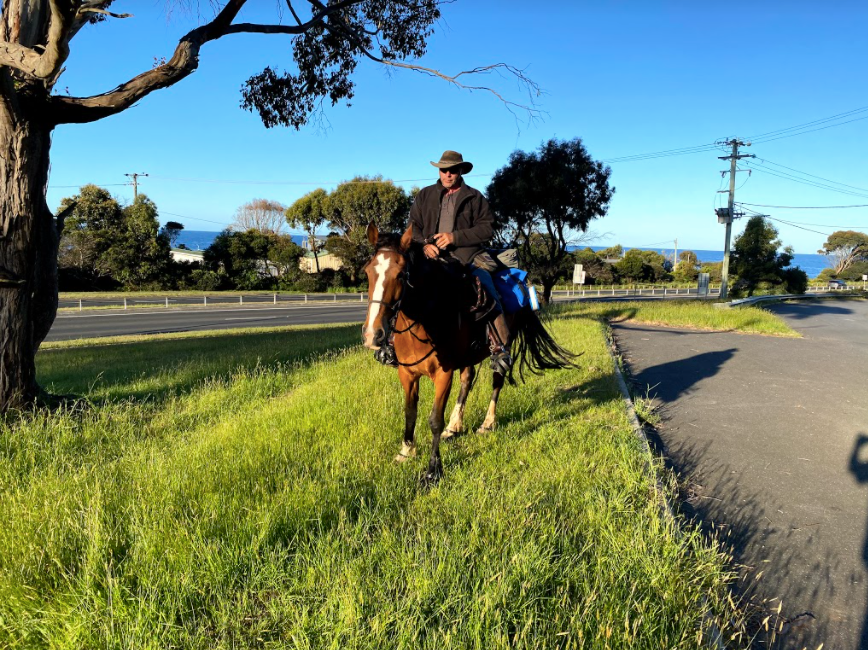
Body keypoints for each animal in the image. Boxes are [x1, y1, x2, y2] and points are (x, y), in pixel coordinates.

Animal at [360, 223, 576, 480]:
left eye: (402, 274)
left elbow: (434, 420)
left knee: (497, 380)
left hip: (502, 348)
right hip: (467, 357)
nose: (373, 335)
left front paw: (433, 470)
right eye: (367, 272)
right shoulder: (407, 374)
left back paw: (487, 423)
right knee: (467, 381)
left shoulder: (443, 375)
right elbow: (410, 412)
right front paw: (406, 451)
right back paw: (455, 426)